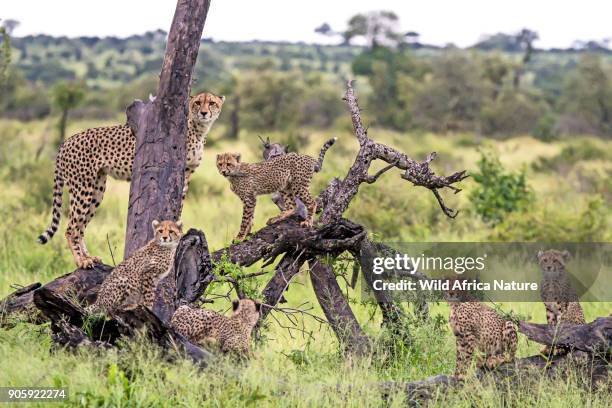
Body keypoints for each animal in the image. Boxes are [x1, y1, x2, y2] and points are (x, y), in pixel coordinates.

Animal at [36, 92, 222, 268]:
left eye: (212, 103)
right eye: (197, 102)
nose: (204, 113)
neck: (199, 129)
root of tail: (66, 141)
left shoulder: (187, 174)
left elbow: (180, 202)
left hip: (96, 189)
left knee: (80, 227)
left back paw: (89, 257)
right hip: (82, 187)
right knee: (71, 228)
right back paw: (81, 261)